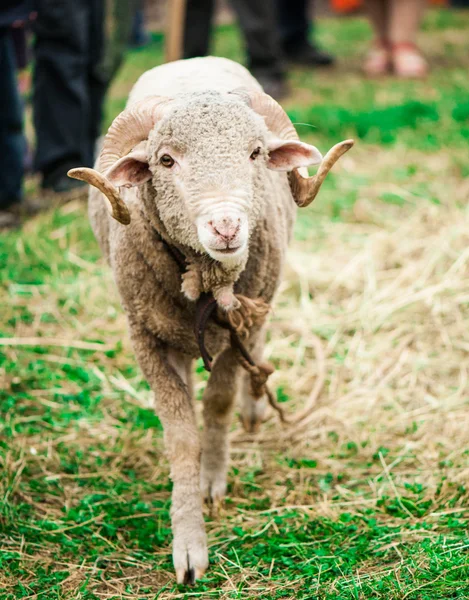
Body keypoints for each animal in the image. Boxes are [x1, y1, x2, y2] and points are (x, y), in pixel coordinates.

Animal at [68, 55, 352, 580]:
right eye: (165, 160)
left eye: (256, 152)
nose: (226, 226)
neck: (203, 281)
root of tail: (192, 60)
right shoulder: (146, 338)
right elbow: (181, 439)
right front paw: (188, 545)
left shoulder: (237, 327)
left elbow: (217, 405)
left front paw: (213, 482)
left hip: (261, 298)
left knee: (255, 352)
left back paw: (255, 405)